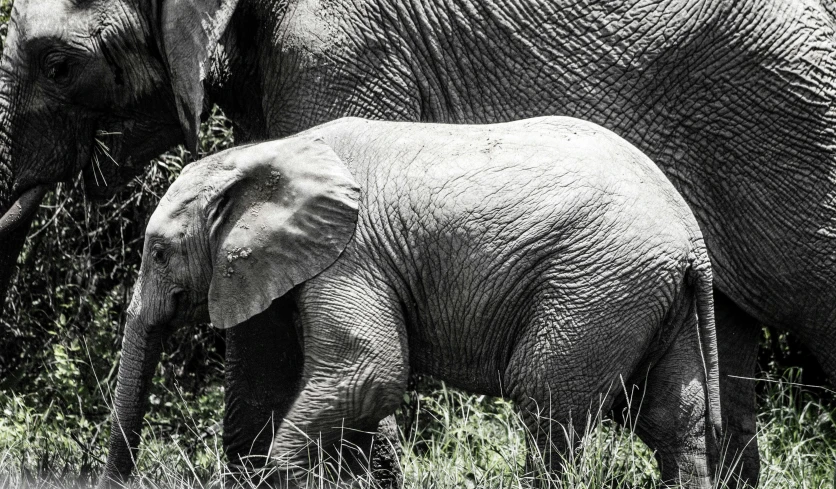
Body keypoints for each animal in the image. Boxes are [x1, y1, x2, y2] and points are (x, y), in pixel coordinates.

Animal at [101, 116, 720, 486]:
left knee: (548, 402)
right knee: (673, 419)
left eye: (159, 252)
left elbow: (369, 374)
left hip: (598, 285)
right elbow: (351, 395)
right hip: (648, 292)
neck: (265, 154)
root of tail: (692, 235)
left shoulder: (350, 257)